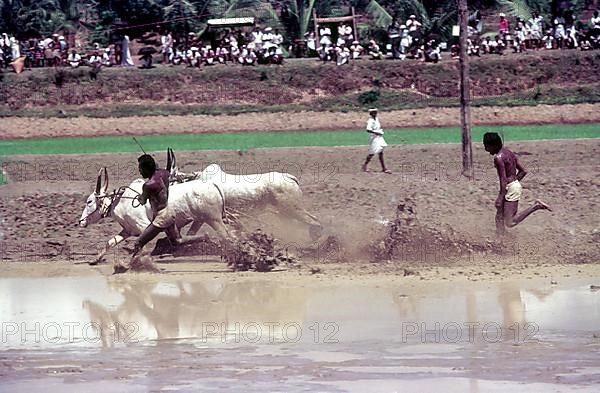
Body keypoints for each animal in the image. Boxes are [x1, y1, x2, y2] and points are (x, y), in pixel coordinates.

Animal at [79, 167, 230, 264]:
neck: (120, 201)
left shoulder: (145, 226)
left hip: (214, 220)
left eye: (89, 201)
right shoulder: (127, 231)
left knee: (226, 236)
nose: (81, 221)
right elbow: (110, 243)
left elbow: (142, 246)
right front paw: (95, 260)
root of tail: (213, 185)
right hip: (201, 220)